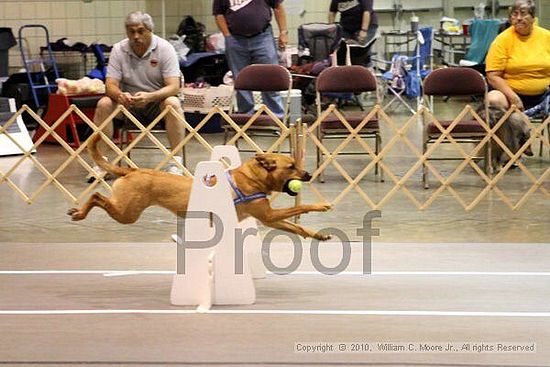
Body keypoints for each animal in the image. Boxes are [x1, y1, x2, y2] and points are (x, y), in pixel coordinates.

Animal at [69, 135, 336, 242]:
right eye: (291, 166)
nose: (308, 175)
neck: (252, 178)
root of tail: (132, 170)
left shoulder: (269, 218)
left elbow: (297, 226)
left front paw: (318, 235)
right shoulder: (268, 215)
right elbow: (302, 207)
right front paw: (322, 205)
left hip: (126, 211)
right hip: (127, 212)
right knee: (96, 196)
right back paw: (79, 213)